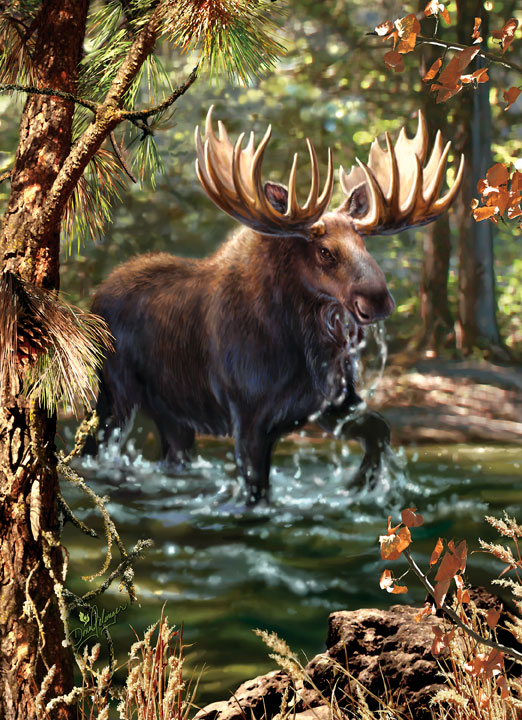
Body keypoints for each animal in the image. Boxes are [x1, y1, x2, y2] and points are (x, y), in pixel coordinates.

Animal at [86, 107, 463, 505]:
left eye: (363, 243)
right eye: (325, 251)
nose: (378, 299)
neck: (304, 344)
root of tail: (95, 297)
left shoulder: (330, 403)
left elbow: (379, 428)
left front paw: (361, 483)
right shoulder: (248, 418)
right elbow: (257, 490)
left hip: (172, 414)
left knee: (172, 454)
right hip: (115, 396)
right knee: (96, 446)